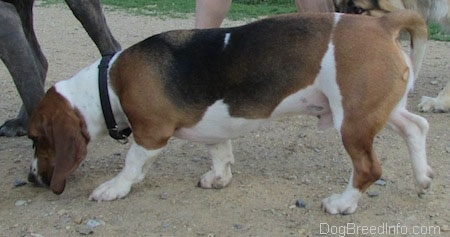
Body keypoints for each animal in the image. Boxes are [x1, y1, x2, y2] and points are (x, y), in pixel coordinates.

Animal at [27, 11, 432, 215]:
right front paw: (219, 178)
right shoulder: (214, 132)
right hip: (374, 109)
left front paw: (114, 188)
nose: (31, 179)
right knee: (416, 125)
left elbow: (131, 164)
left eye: (33, 137)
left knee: (369, 169)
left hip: (352, 120)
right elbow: (219, 154)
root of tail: (381, 22)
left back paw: (342, 203)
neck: (107, 83)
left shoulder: (151, 134)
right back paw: (423, 178)